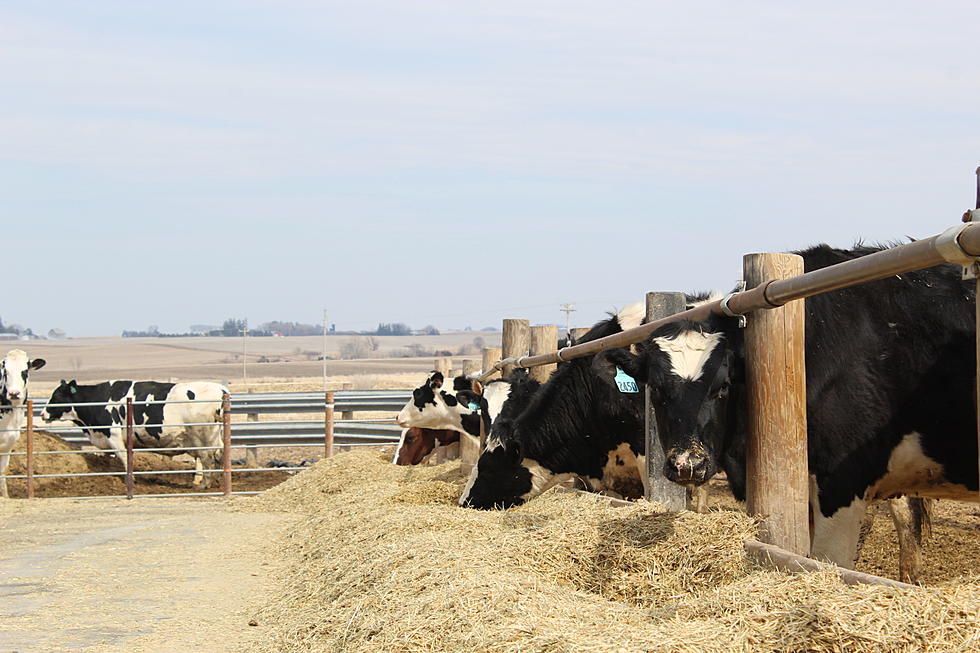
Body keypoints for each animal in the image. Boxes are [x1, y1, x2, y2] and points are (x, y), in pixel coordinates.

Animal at [40, 380, 230, 486]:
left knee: (207, 459)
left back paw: (204, 484)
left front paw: (129, 480)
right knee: (218, 456)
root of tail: (221, 389)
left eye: (57, 396)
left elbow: (124, 457)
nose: (43, 414)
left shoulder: (114, 436)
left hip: (202, 437)